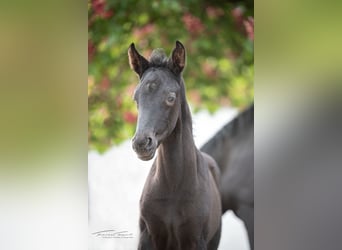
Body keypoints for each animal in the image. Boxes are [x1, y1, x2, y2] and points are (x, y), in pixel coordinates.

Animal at [128, 40, 222, 248]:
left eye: (171, 97)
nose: (141, 143)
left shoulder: (196, 240)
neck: (173, 187)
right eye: (135, 98)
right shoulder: (147, 236)